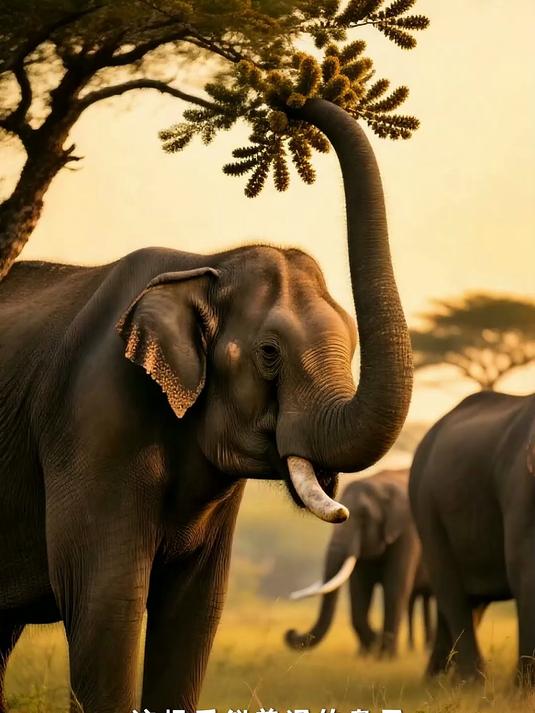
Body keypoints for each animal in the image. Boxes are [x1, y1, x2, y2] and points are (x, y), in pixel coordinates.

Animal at [0, 99, 413, 713]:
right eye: (269, 354)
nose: (288, 102)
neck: (207, 263)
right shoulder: (94, 414)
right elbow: (104, 601)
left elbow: (195, 611)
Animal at [285, 469, 430, 657]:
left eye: (364, 516)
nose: (291, 631)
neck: (380, 484)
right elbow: (359, 589)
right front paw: (368, 651)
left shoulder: (407, 531)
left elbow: (395, 587)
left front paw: (386, 656)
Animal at [409, 391, 535, 683]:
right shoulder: (520, 485)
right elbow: (525, 568)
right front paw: (524, 689)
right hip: (424, 504)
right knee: (451, 590)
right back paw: (471, 683)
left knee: (469, 600)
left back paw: (437, 682)